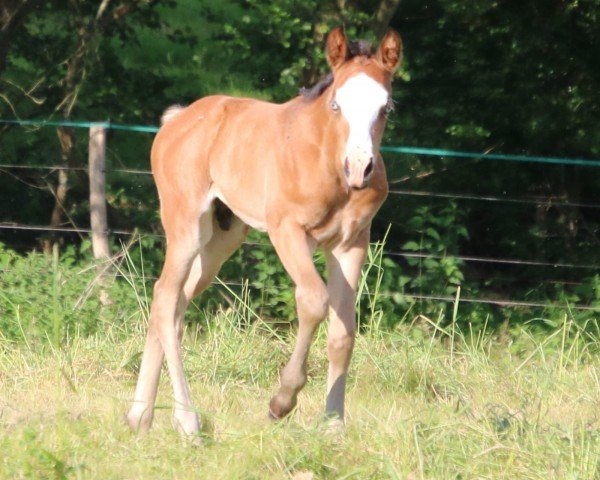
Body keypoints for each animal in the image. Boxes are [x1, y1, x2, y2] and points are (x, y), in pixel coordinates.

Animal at [129, 27, 406, 436]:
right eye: (336, 105)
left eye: (387, 108)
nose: (359, 167)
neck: (325, 162)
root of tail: (174, 122)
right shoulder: (287, 230)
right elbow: (314, 300)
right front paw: (282, 401)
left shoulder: (351, 242)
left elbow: (343, 333)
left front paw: (333, 427)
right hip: (186, 224)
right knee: (166, 296)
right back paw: (188, 420)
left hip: (223, 237)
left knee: (174, 303)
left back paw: (140, 416)